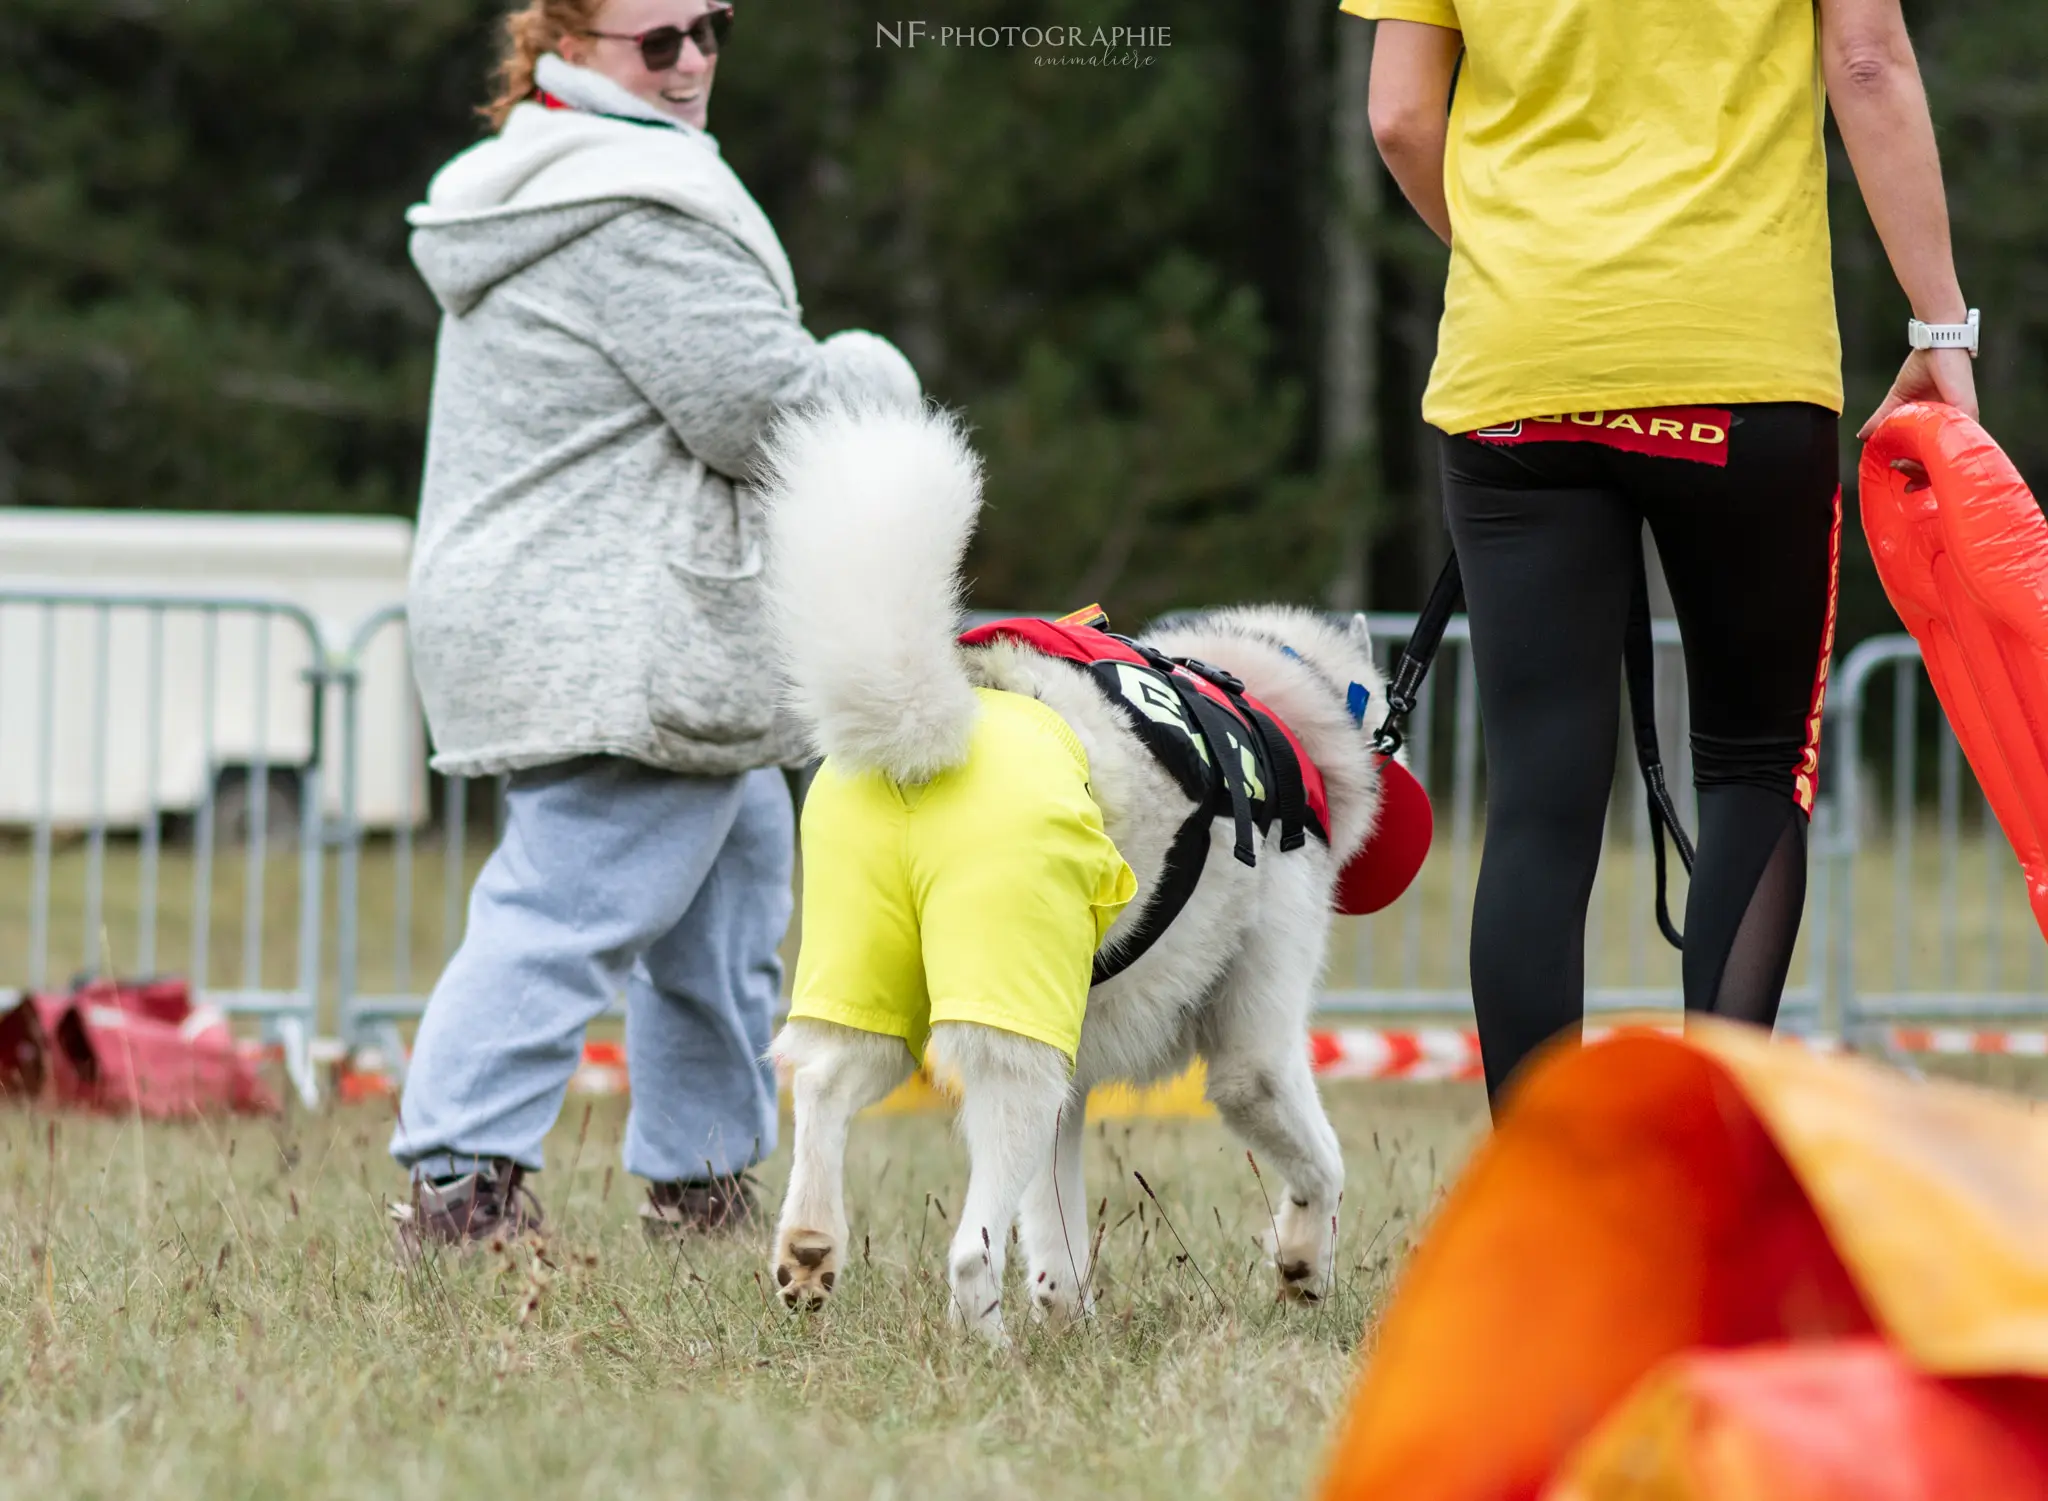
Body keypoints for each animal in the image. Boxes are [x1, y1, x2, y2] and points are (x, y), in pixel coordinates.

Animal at [757, 397, 1392, 1335]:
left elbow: (1054, 1233)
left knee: (825, 1084)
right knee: (969, 1249)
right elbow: (1324, 1163)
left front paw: (1071, 1322)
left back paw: (810, 1250)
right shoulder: (1256, 1053)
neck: (1269, 703)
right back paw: (987, 1344)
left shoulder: (1073, 1063)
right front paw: (1303, 1263)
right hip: (1008, 1055)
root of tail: (941, 726)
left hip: (876, 993)